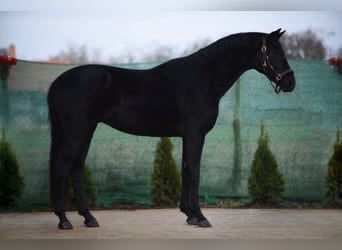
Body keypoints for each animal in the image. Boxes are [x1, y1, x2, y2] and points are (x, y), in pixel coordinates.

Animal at [48, 28, 296, 229]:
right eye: (273, 51)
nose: (290, 83)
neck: (203, 78)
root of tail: (57, 83)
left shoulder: (188, 136)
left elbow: (186, 171)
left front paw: (190, 215)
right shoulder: (195, 135)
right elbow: (194, 173)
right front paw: (201, 217)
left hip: (86, 132)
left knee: (76, 169)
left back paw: (89, 218)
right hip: (76, 133)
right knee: (62, 167)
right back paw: (64, 220)